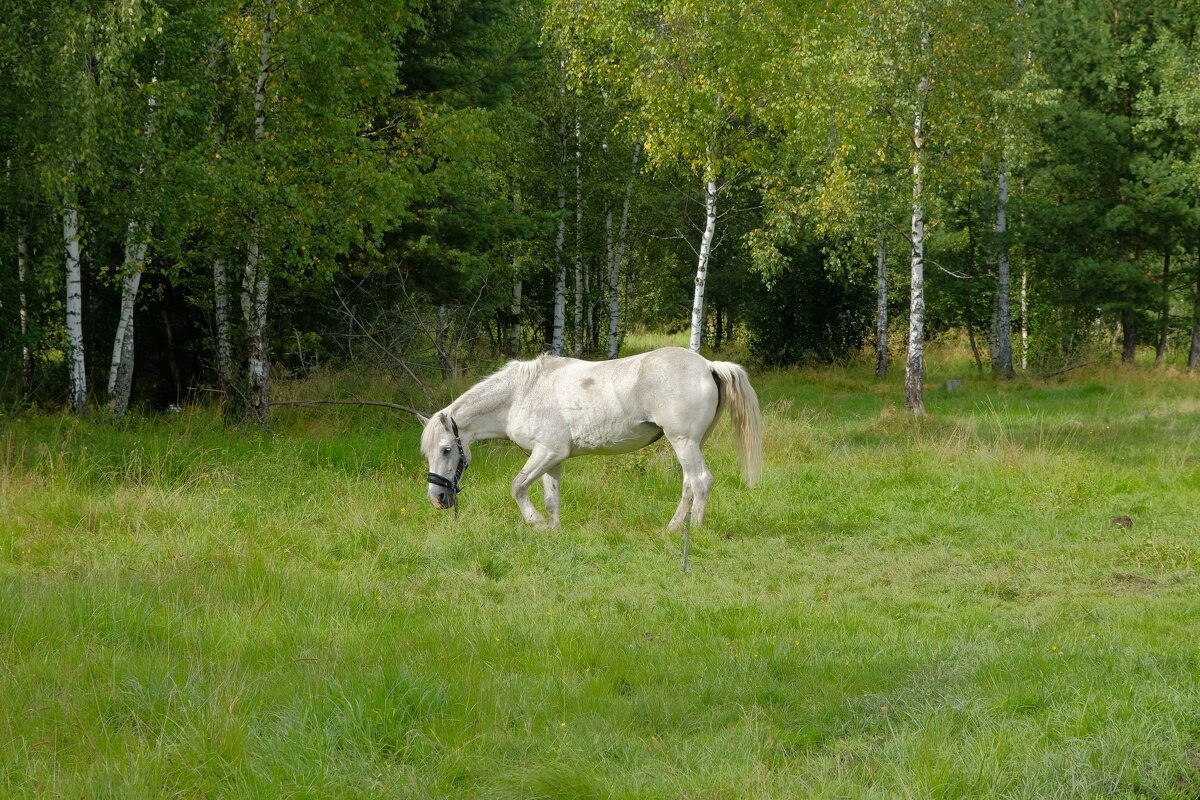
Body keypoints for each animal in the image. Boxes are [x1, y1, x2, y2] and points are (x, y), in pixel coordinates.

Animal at [417, 345, 763, 527]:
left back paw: (689, 530)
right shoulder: (552, 459)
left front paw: (535, 523)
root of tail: (708, 365)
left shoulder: (547, 453)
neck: (521, 393)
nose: (436, 499)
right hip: (693, 444)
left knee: (701, 481)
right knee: (690, 484)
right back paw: (676, 526)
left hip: (684, 442)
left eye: (446, 450)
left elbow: (517, 487)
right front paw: (553, 531)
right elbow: (551, 498)